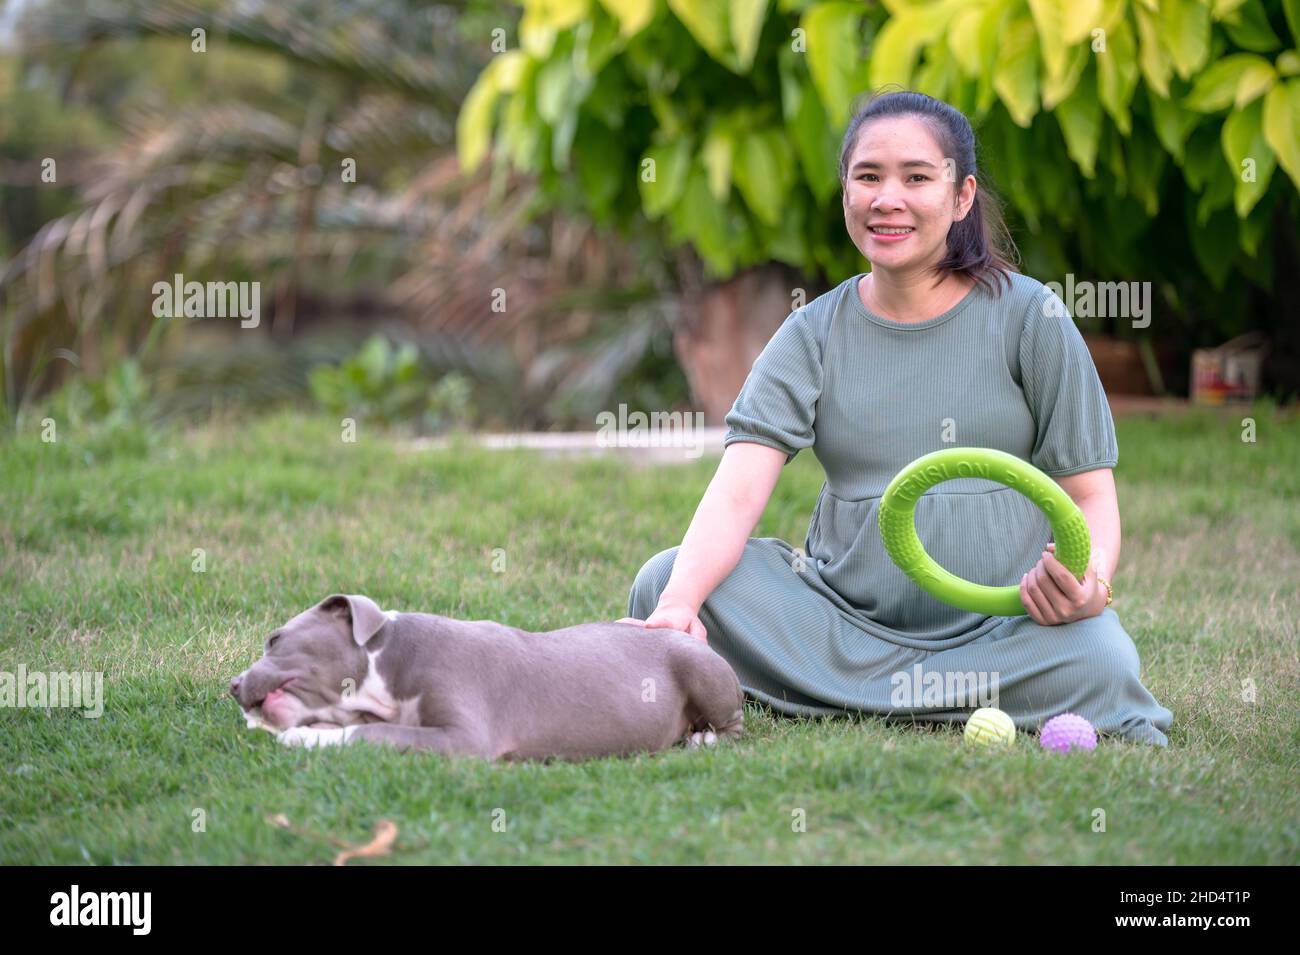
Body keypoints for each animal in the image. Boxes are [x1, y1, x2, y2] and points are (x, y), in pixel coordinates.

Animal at [230, 595, 748, 764]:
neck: (389, 658)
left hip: (702, 670)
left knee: (733, 725)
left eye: (274, 639)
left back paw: (704, 739)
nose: (233, 685)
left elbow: (369, 733)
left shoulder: (463, 737)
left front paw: (300, 738)